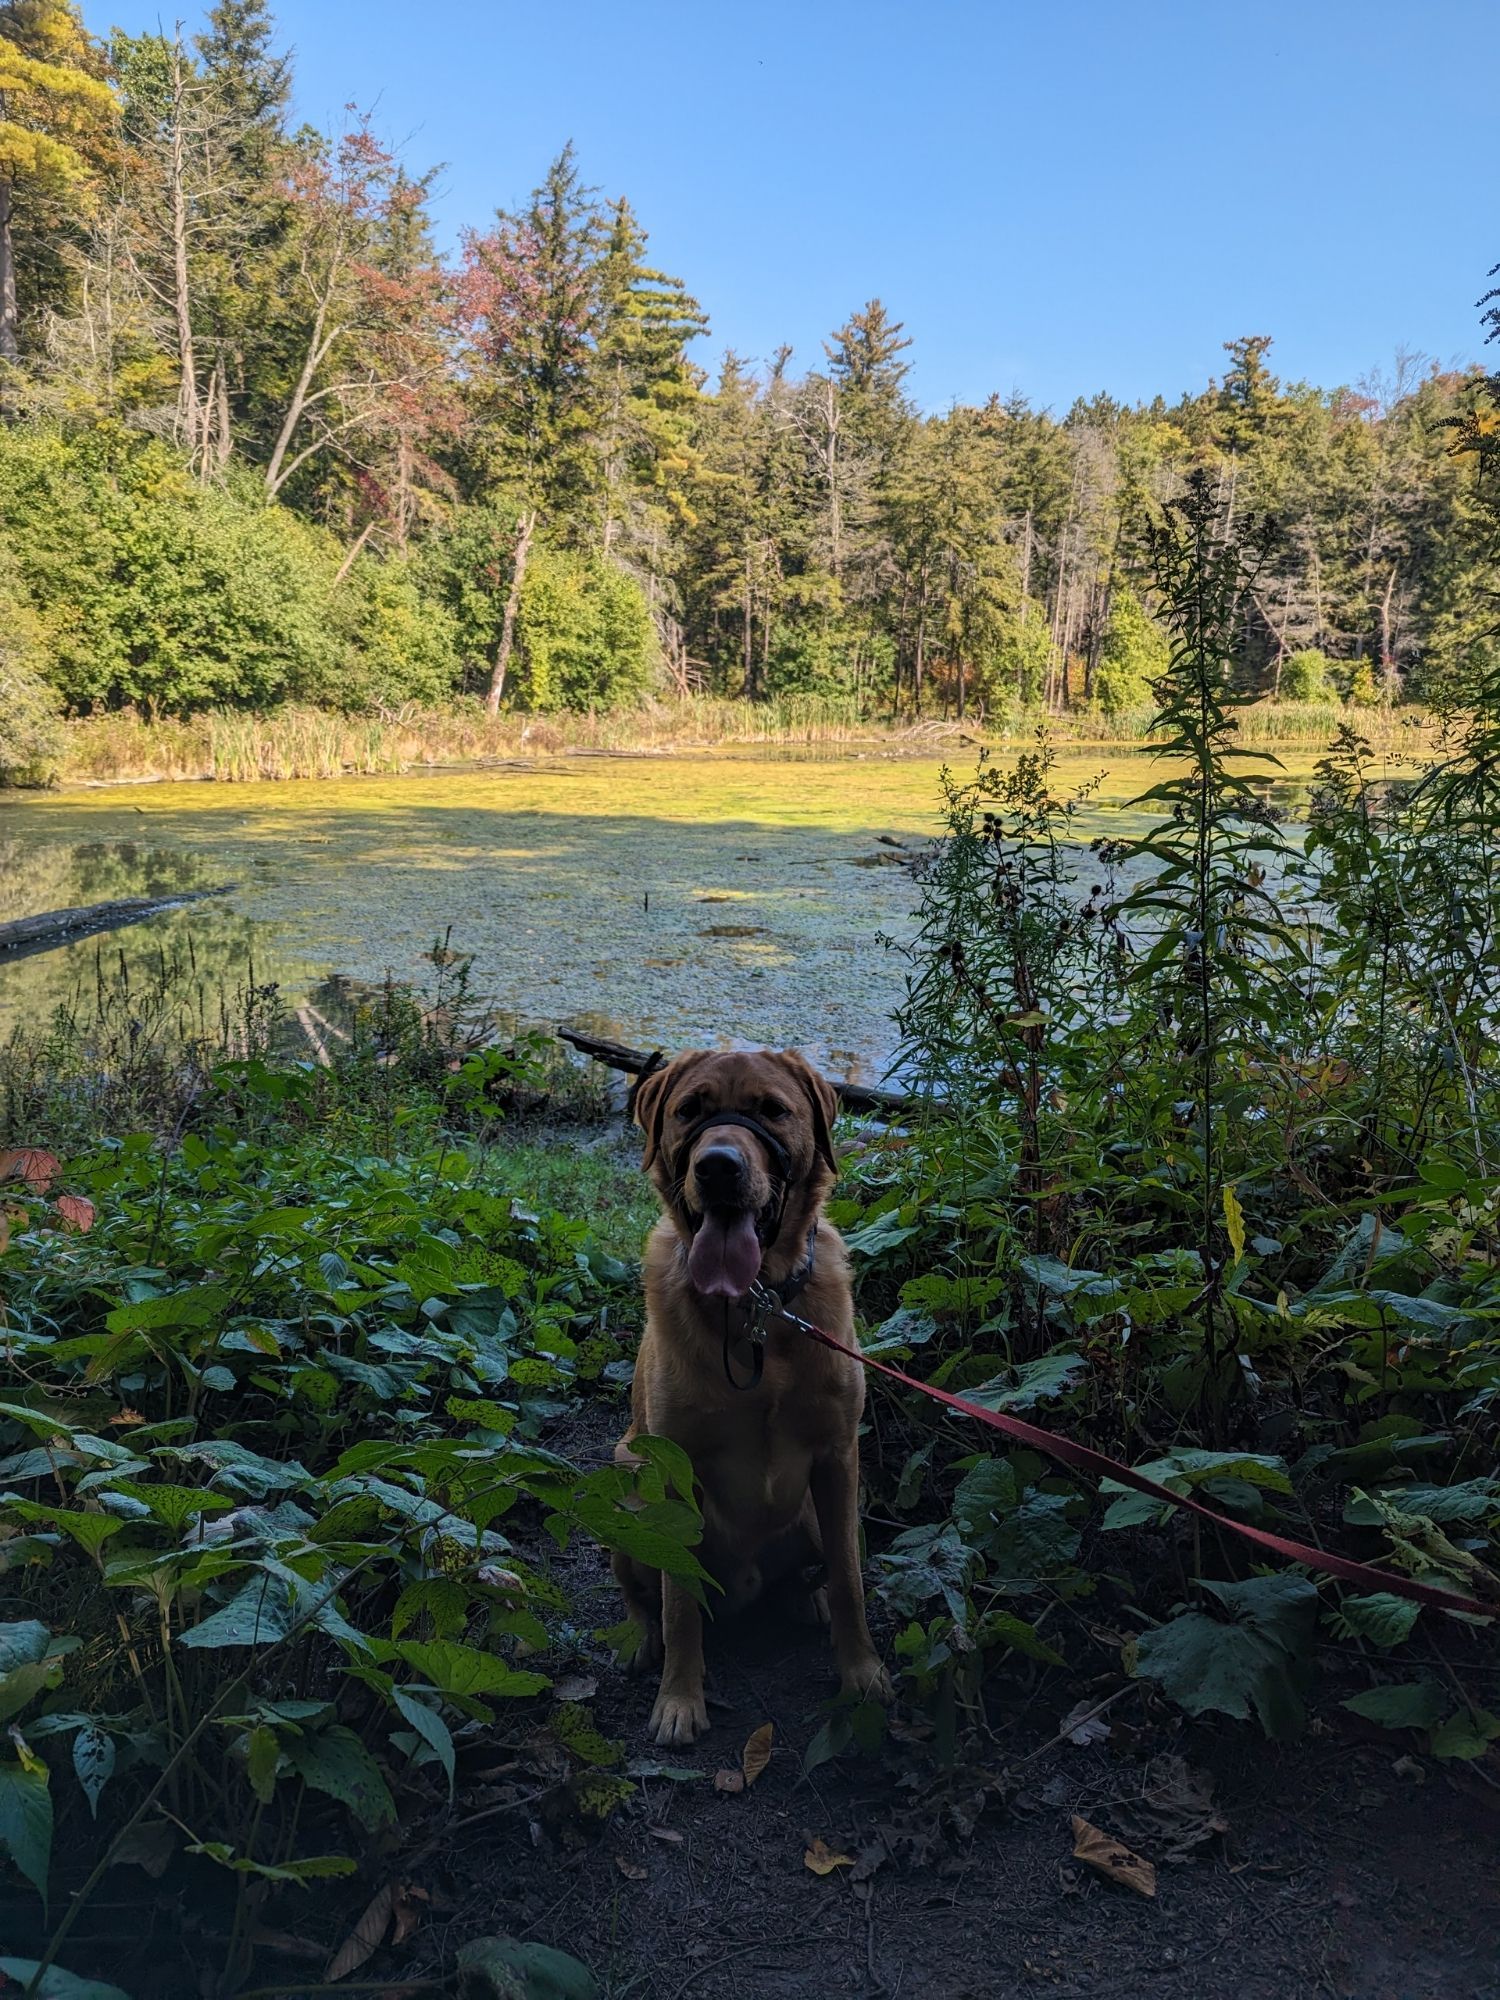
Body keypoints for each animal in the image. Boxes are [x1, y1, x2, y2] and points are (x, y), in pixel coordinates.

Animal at [612, 1056, 892, 1744]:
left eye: (772, 1110)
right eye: (689, 1110)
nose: (717, 1166)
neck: (756, 1309)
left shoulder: (838, 1459)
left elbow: (851, 1577)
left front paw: (862, 1672)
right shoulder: (672, 1470)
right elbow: (678, 1602)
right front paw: (679, 1700)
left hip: (820, 1512)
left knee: (821, 1565)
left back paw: (805, 1597)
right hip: (628, 1478)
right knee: (643, 1593)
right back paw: (638, 1636)